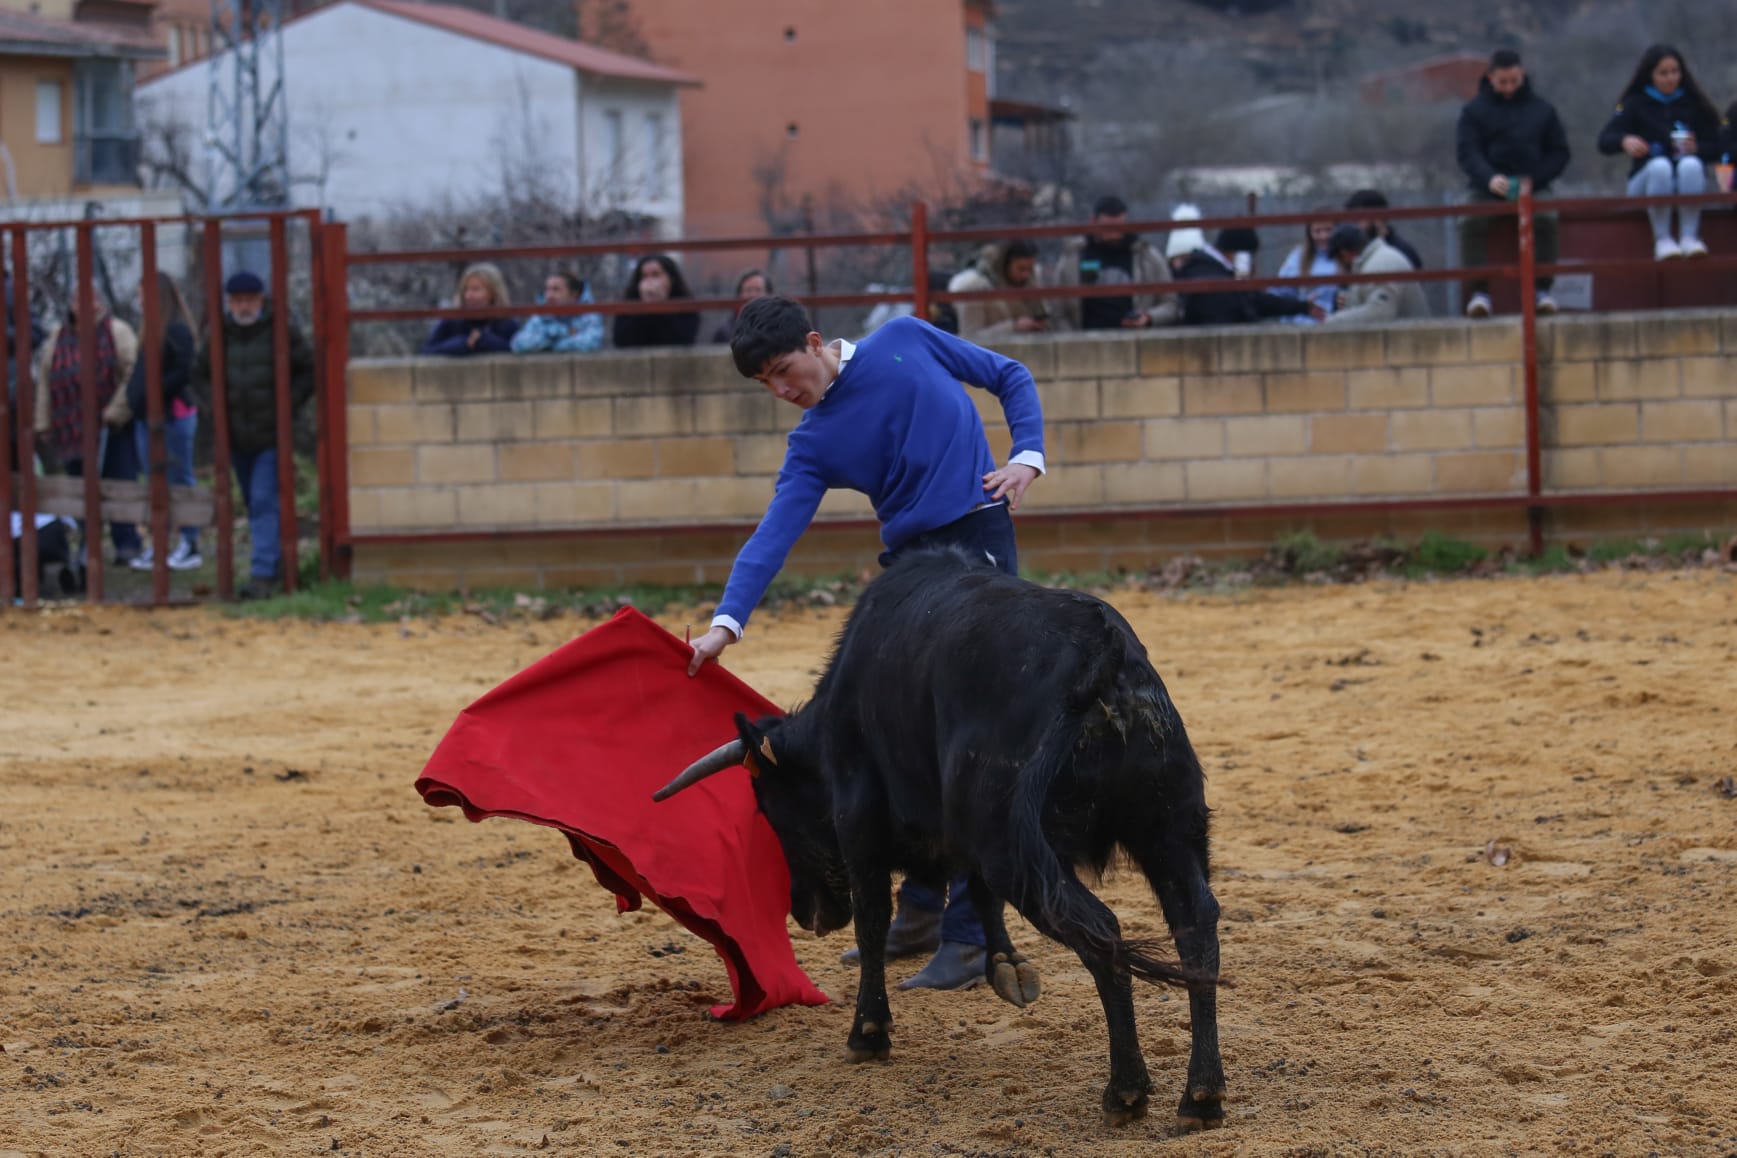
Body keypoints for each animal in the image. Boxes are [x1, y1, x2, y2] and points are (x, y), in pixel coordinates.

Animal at [656, 552, 1229, 1131]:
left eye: (770, 807)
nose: (805, 913)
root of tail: (1102, 658)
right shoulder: (966, 832)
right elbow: (975, 893)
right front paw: (1005, 965)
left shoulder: (860, 821)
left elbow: (873, 921)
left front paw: (868, 1033)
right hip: (1168, 832)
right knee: (1195, 924)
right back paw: (1201, 1096)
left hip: (1020, 855)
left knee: (1103, 930)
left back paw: (1127, 1090)